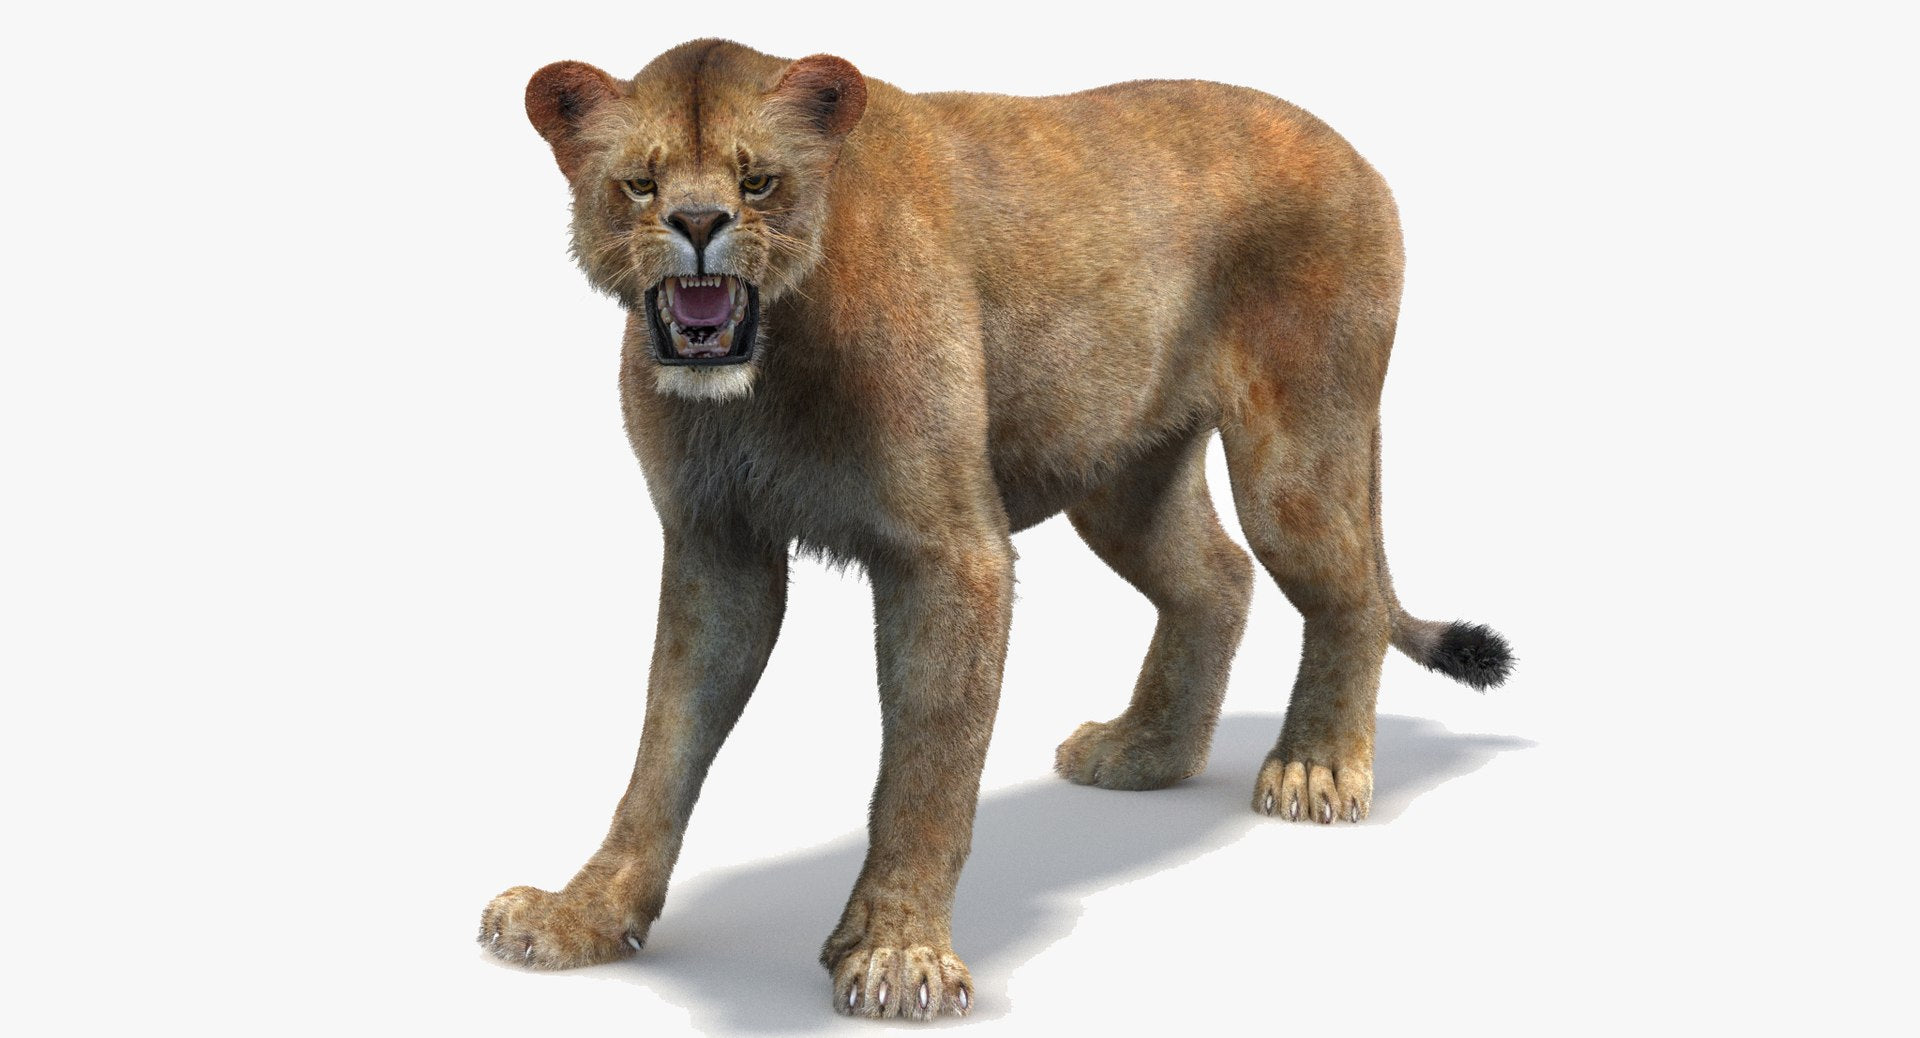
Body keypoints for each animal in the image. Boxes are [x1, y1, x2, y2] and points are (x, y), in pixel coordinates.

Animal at [480, 38, 1514, 1019]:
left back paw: (1316, 768)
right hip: (1119, 474)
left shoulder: (950, 553)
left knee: (1349, 593)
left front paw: (897, 955)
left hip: (1294, 456)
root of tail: (1354, 154)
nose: (698, 227)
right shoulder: (717, 544)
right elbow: (664, 744)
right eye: (641, 184)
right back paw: (1145, 751)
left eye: (759, 180)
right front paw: (581, 916)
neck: (766, 372)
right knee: (1217, 575)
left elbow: (928, 764)